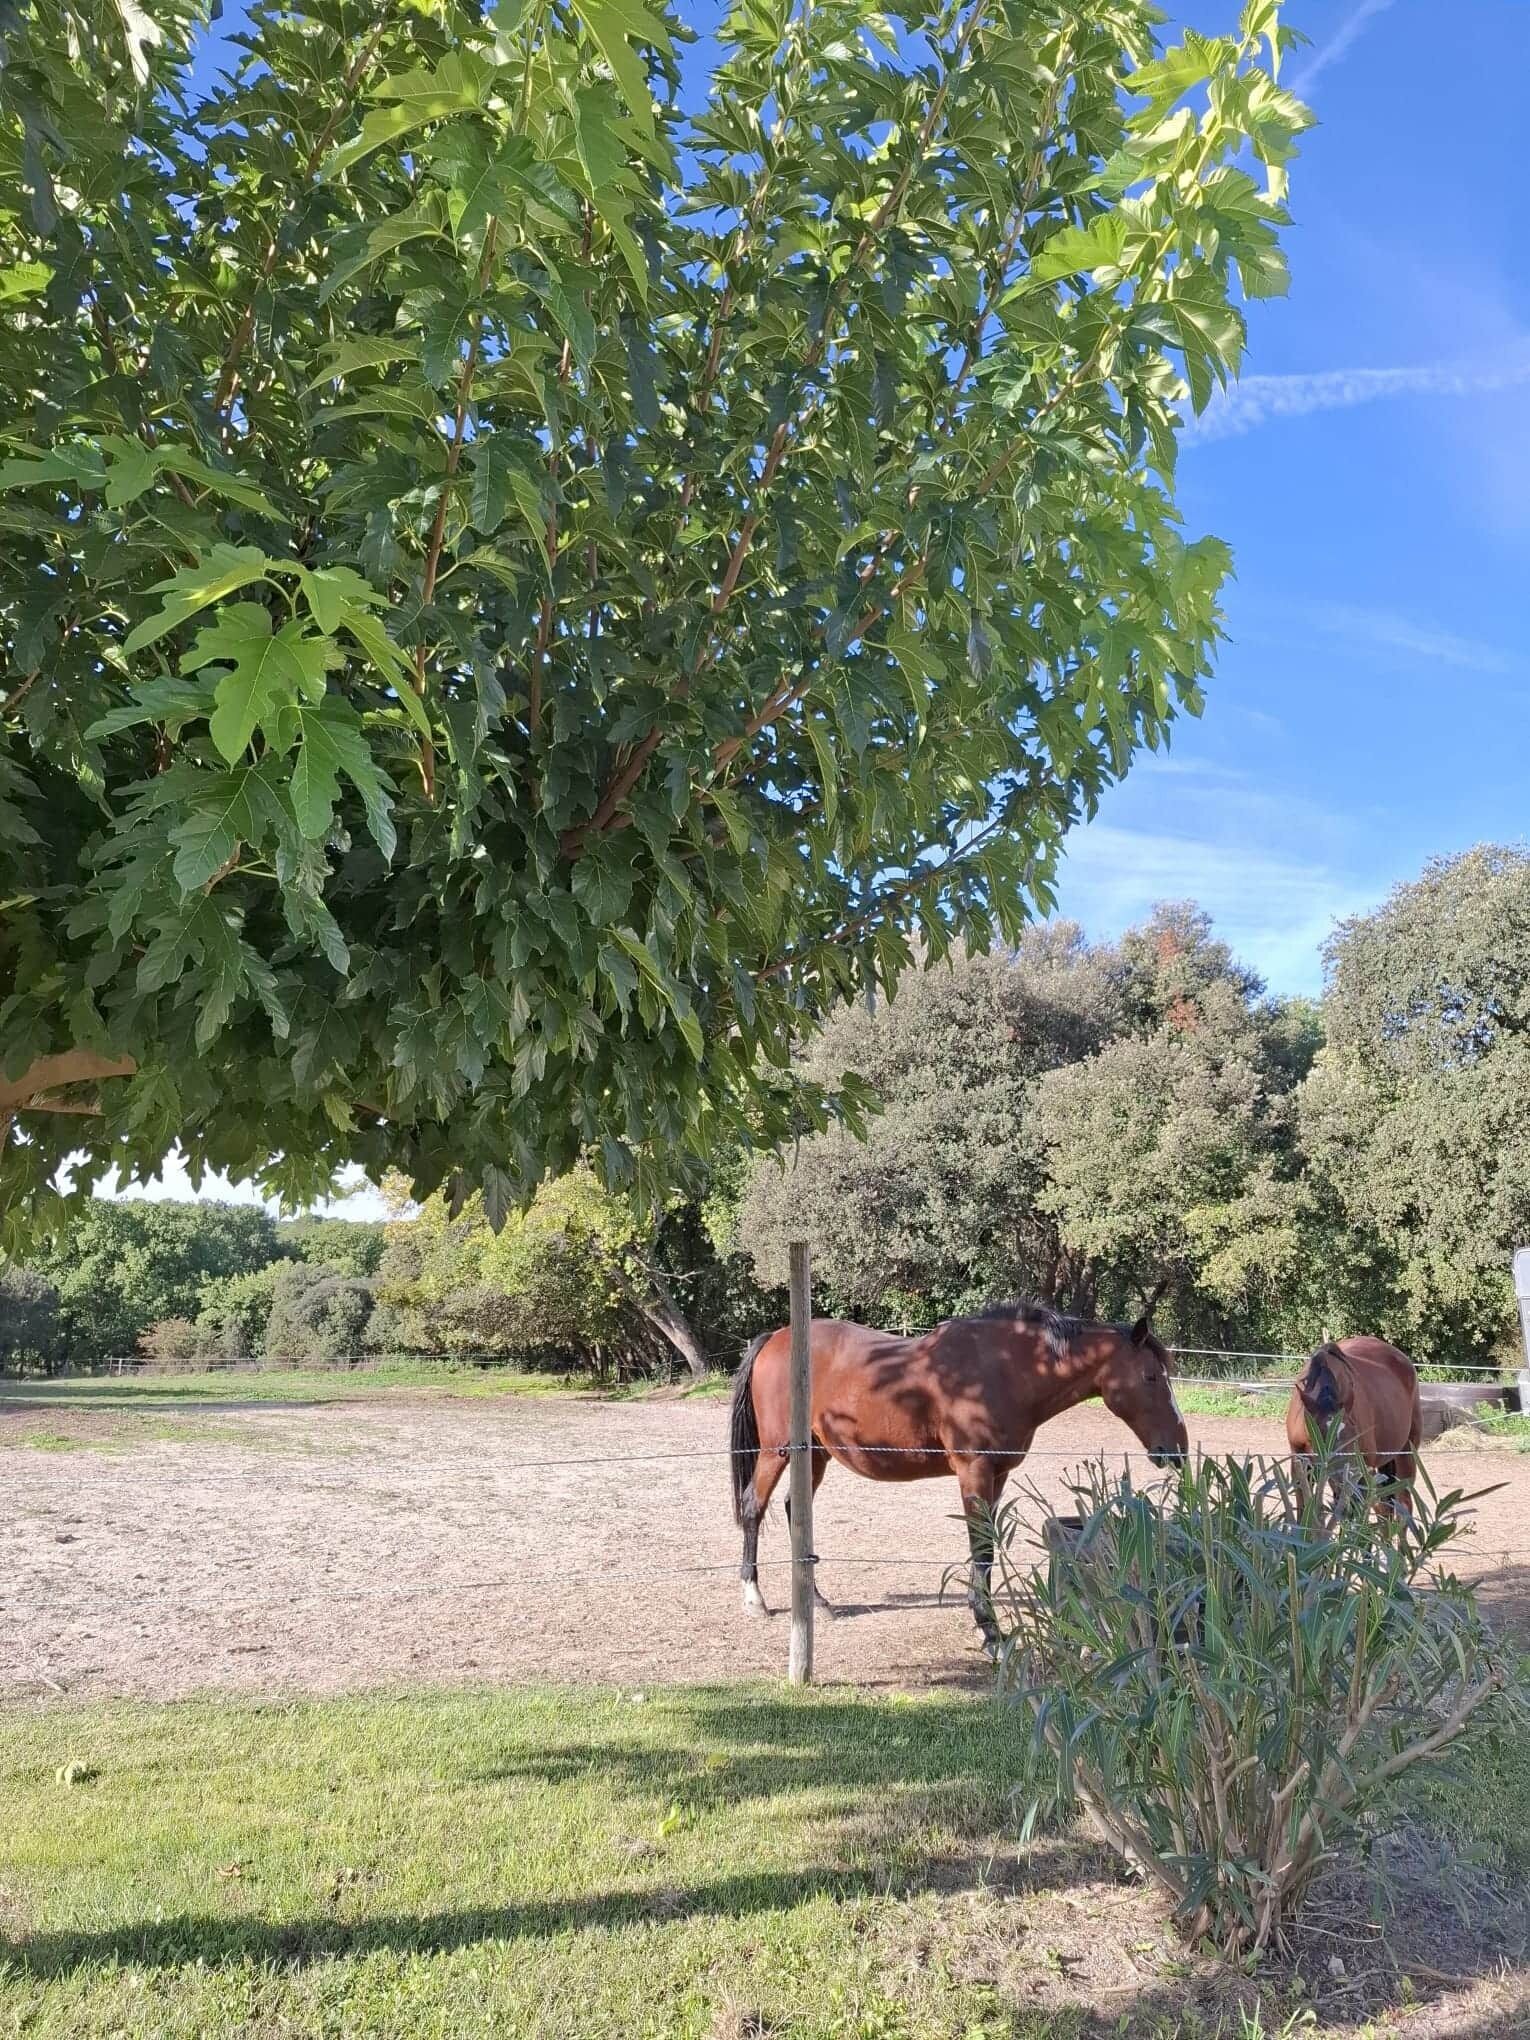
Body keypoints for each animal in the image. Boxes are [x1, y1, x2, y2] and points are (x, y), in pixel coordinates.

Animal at [728, 1297, 1190, 1652]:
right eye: (1151, 1376)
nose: (1178, 1449)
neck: (1003, 1370)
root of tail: (775, 1338)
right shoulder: (975, 1471)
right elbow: (981, 1548)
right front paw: (992, 1634)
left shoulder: (998, 1475)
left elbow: (986, 1549)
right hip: (776, 1452)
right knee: (754, 1506)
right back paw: (754, 1598)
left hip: (815, 1455)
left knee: (795, 1510)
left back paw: (818, 1600)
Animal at [1286, 1335, 1422, 1518]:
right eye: (1320, 1439)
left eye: (1354, 1437)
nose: (1347, 1480)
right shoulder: (1300, 1463)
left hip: (1406, 1453)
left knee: (1403, 1504)